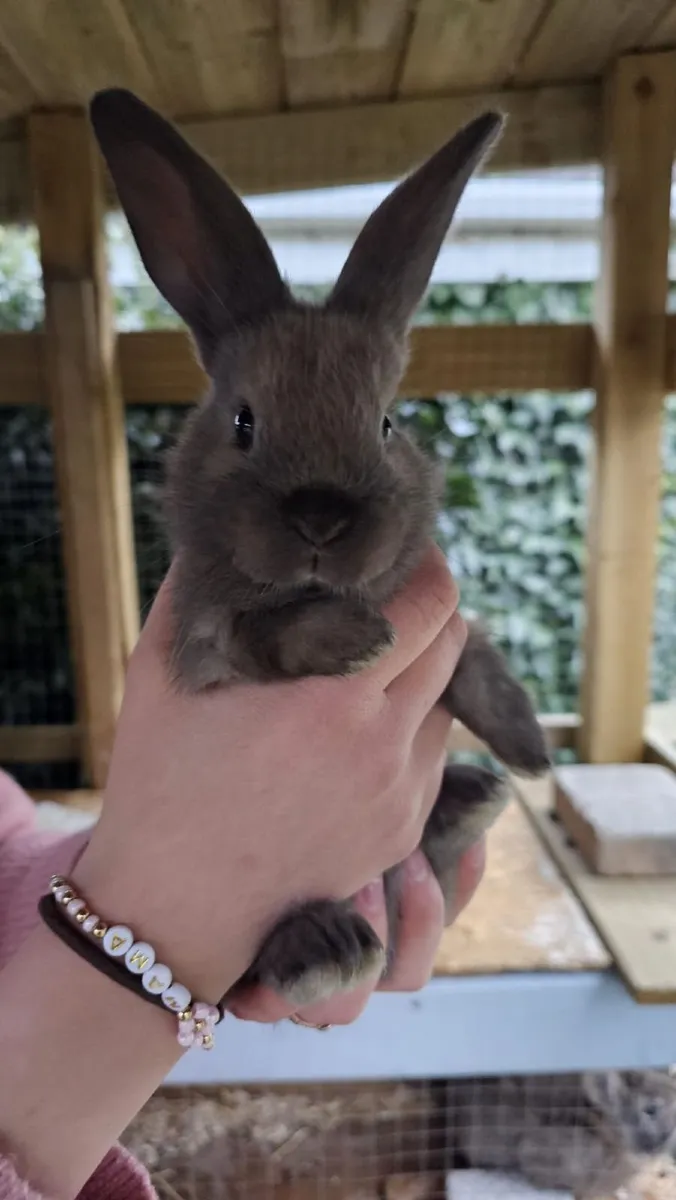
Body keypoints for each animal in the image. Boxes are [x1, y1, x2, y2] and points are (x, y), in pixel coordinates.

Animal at [89, 89, 550, 1009]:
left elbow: (477, 657)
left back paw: (475, 796)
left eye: (386, 423)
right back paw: (326, 951)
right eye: (243, 421)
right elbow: (269, 633)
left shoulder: (452, 629)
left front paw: (530, 748)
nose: (321, 519)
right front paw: (355, 639)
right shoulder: (209, 641)